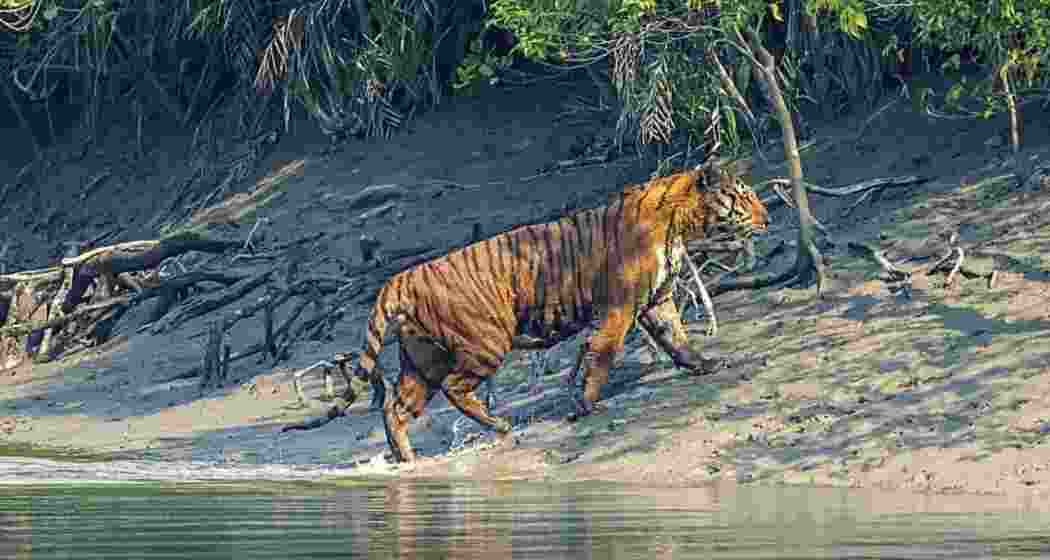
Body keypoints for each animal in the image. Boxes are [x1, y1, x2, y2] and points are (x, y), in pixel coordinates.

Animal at [344, 158, 768, 463]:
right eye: (744, 197)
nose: (766, 218)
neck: (679, 224)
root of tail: (402, 277)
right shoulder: (619, 308)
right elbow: (603, 355)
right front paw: (586, 404)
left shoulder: (657, 301)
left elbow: (676, 338)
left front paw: (705, 364)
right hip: (484, 342)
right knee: (453, 388)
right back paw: (500, 425)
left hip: (423, 361)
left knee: (396, 408)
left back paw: (406, 459)